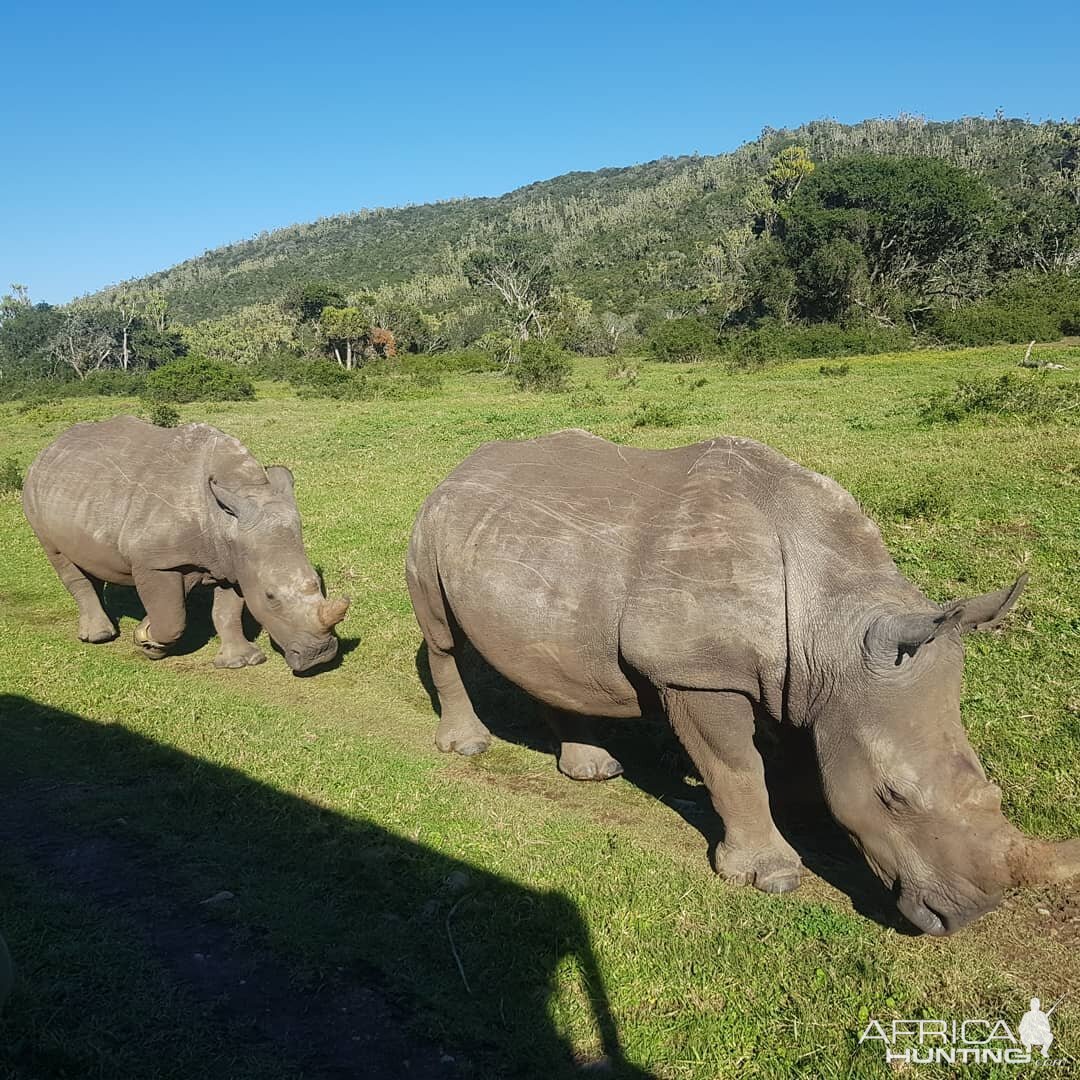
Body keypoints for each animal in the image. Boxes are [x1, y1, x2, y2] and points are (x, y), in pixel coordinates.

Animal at [24, 416, 349, 669]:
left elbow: (228, 612)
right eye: (271, 597)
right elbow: (172, 618)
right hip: (34, 498)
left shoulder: (233, 560)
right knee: (59, 557)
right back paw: (99, 637)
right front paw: (147, 639)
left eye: (317, 582)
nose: (320, 656)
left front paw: (241, 661)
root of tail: (48, 448)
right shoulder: (154, 561)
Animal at [406, 425, 1080, 933]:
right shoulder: (697, 675)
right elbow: (736, 767)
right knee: (441, 636)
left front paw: (806, 813)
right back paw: (467, 746)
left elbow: (799, 756)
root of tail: (460, 465)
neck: (834, 625)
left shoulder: (806, 681)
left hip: (523, 539)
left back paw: (593, 771)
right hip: (431, 522)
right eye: (894, 796)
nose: (969, 915)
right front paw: (773, 875)